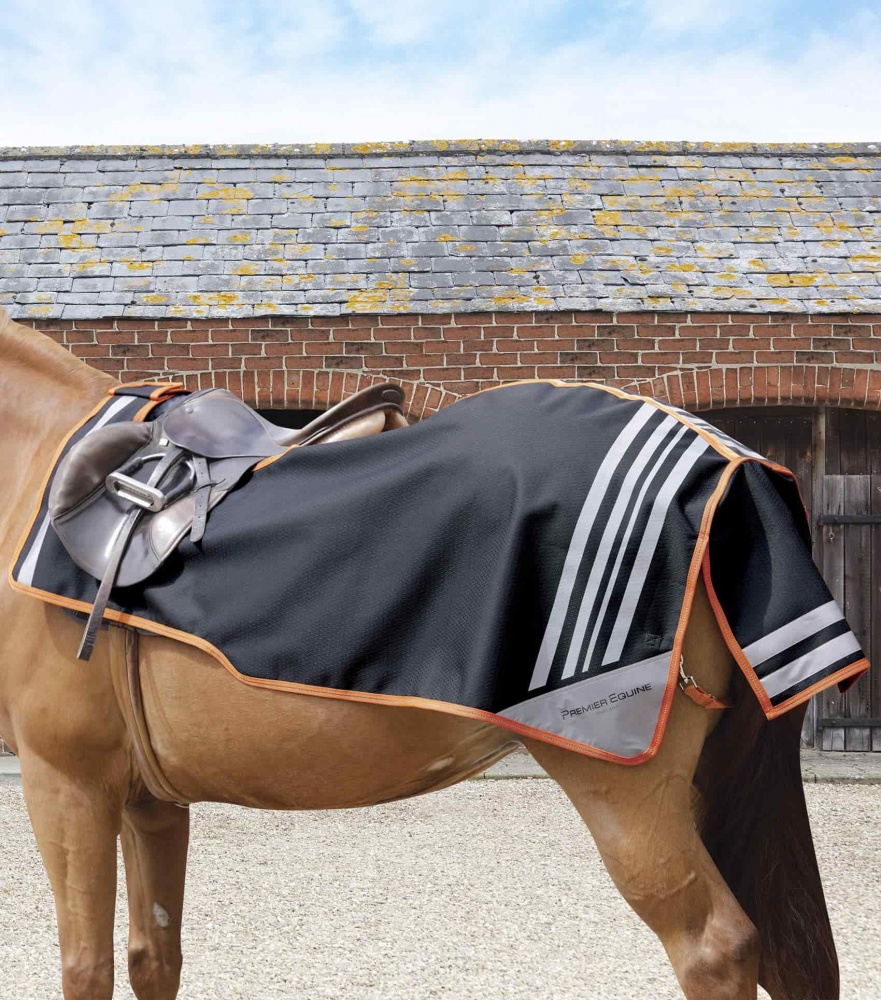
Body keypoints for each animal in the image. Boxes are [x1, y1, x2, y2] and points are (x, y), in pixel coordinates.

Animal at [0, 307, 838, 1000]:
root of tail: (728, 462)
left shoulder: (66, 781)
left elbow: (86, 968)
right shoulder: (147, 798)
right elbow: (155, 961)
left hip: (625, 787)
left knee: (715, 948)